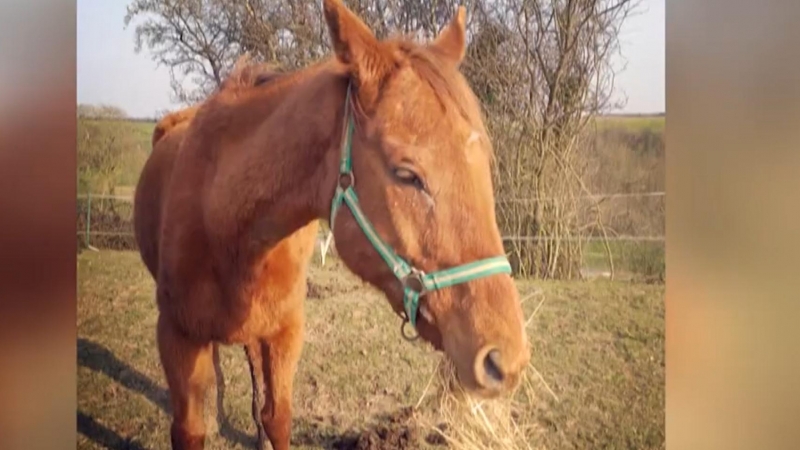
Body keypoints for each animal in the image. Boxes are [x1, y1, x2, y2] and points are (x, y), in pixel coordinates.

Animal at [134, 1, 528, 448]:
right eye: (407, 174)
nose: (505, 359)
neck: (225, 221)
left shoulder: (284, 332)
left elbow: (276, 416)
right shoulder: (176, 337)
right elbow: (190, 428)